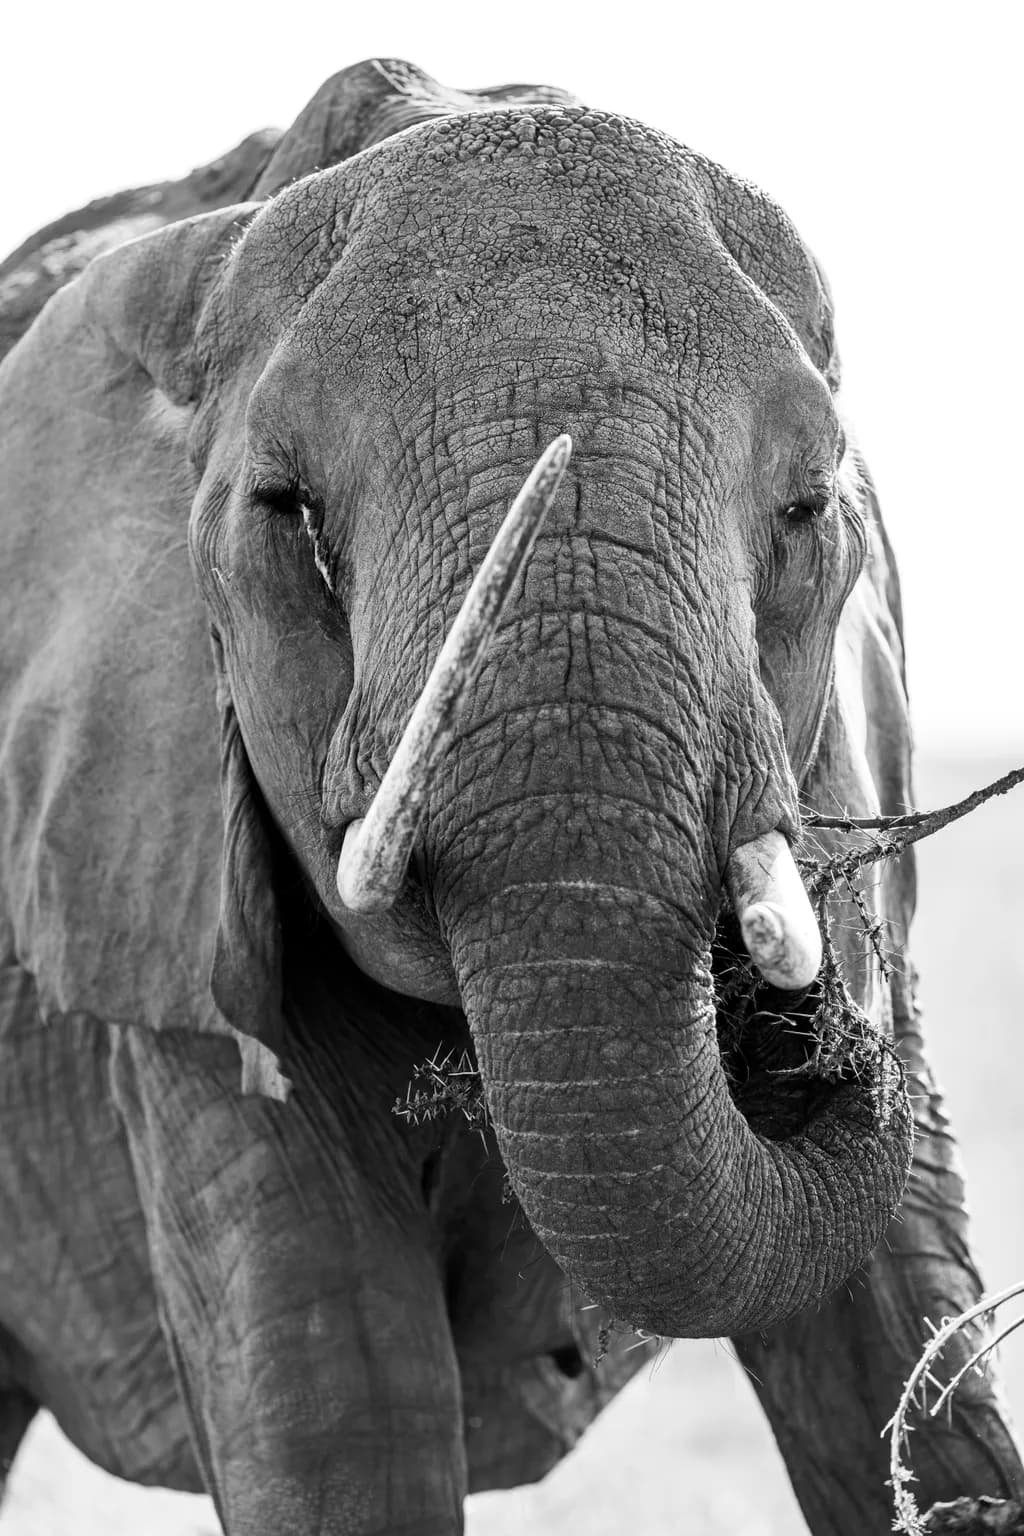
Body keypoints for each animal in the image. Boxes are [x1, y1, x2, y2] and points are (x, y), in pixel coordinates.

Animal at [0, 55, 1021, 1536]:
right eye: (288, 513)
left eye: (810, 506)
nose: (819, 1023)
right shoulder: (156, 893)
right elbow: (344, 1426)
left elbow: (904, 1371)